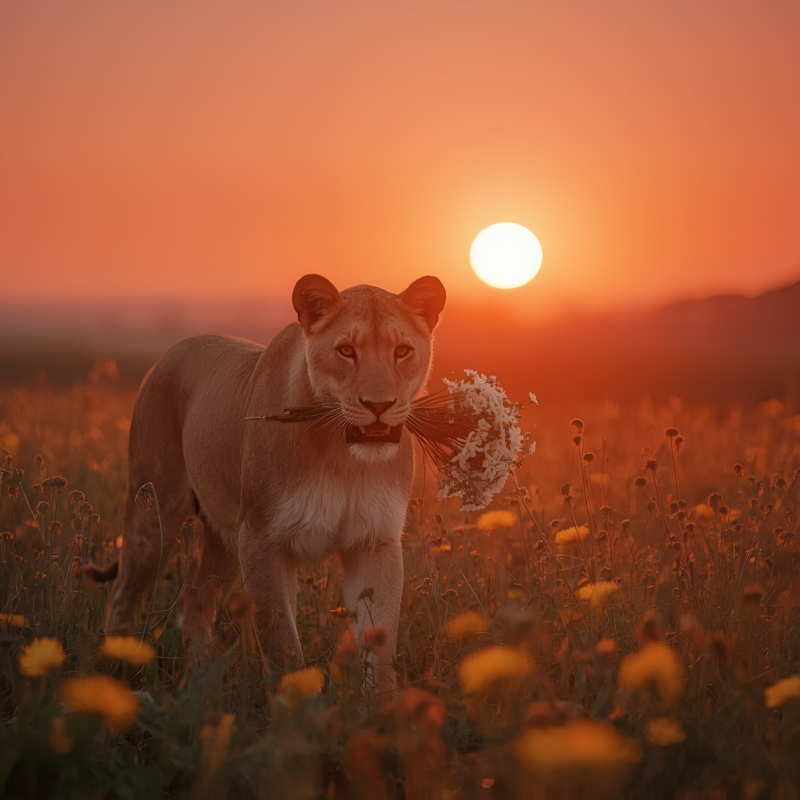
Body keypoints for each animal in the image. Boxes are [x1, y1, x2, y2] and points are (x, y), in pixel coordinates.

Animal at [89, 274, 446, 693]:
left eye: (402, 351)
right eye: (346, 351)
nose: (379, 405)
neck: (342, 454)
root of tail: (171, 351)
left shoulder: (374, 543)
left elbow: (379, 642)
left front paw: (384, 706)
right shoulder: (262, 539)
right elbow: (282, 643)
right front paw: (298, 704)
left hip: (226, 537)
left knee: (194, 601)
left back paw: (206, 685)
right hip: (156, 514)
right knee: (123, 594)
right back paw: (113, 679)